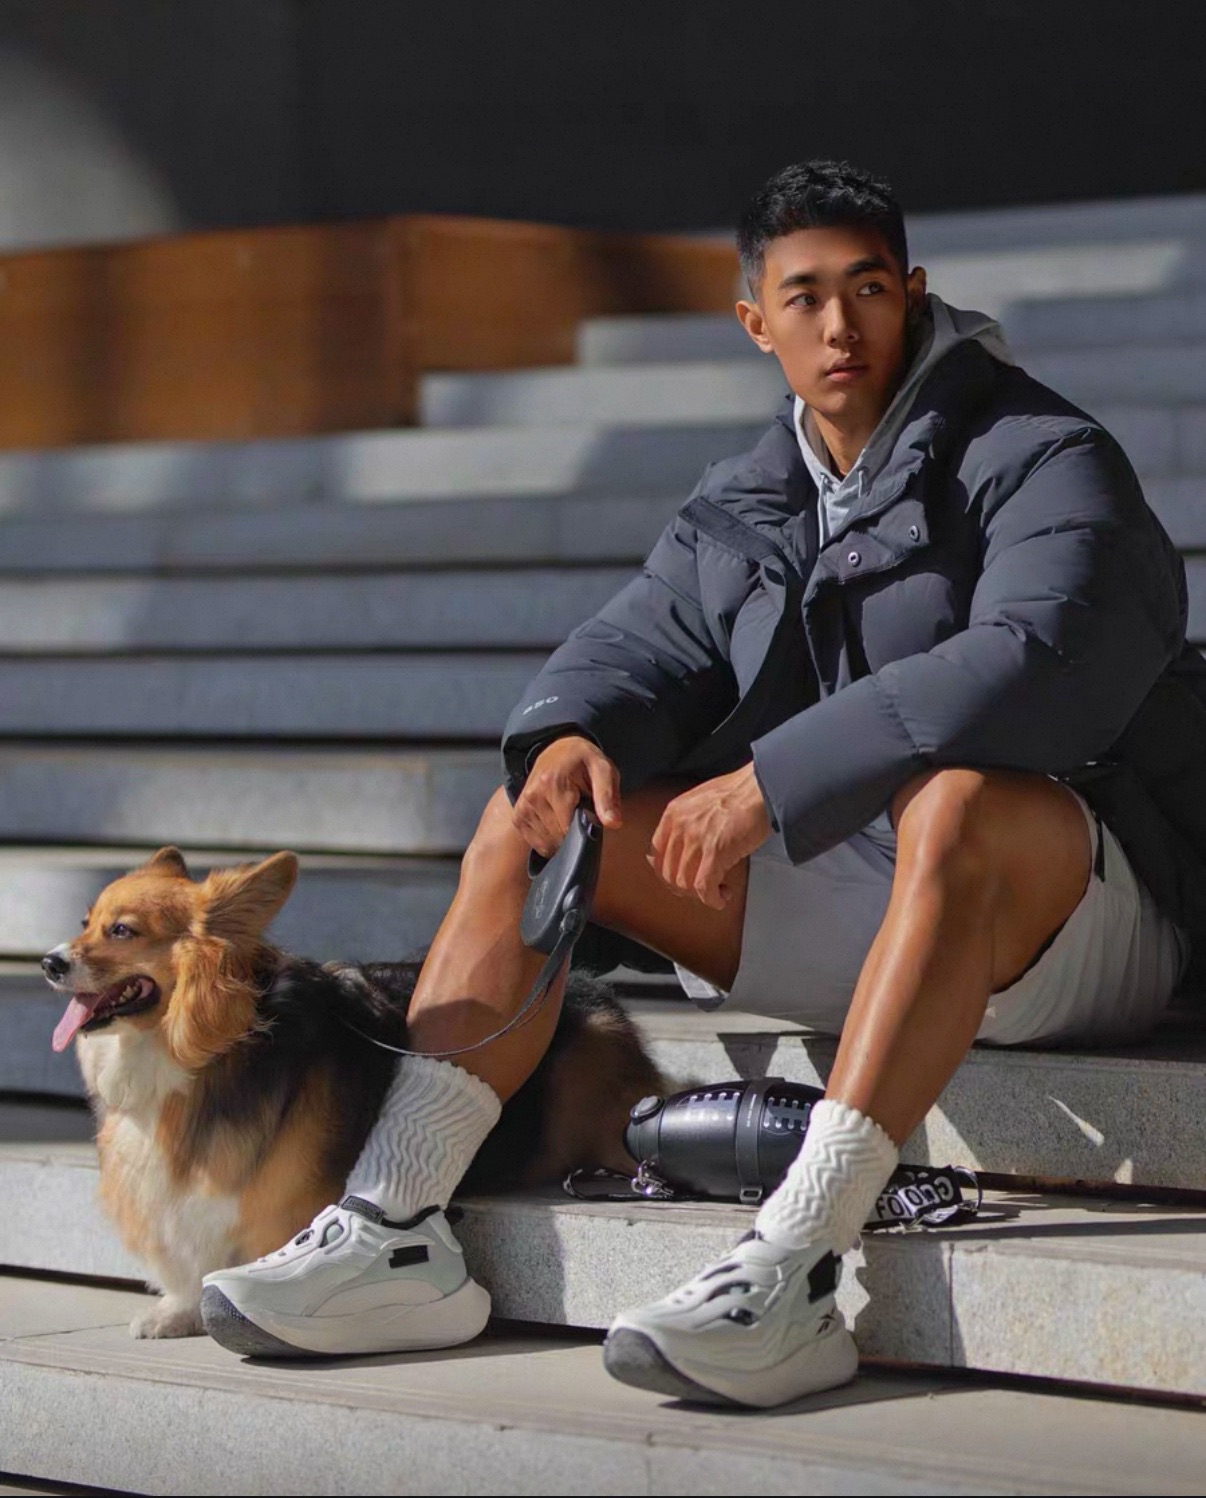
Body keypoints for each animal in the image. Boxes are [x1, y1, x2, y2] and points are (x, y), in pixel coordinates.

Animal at [42, 845, 662, 1339]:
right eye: (86, 921)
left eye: (122, 930)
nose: (49, 962)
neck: (200, 1047)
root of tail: (587, 986)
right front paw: (178, 1312)